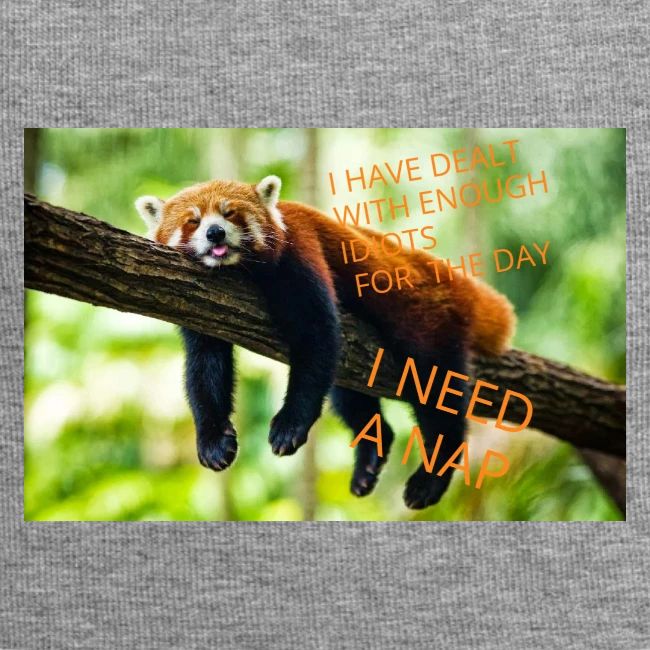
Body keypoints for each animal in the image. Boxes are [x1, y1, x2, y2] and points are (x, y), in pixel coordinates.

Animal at [136, 175, 515, 509]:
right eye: (193, 221)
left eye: (230, 214)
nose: (215, 232)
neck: (239, 271)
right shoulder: (200, 304)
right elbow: (205, 367)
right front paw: (213, 441)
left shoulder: (300, 253)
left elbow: (316, 337)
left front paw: (290, 425)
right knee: (348, 395)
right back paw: (369, 458)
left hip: (427, 322)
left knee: (436, 391)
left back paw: (431, 477)